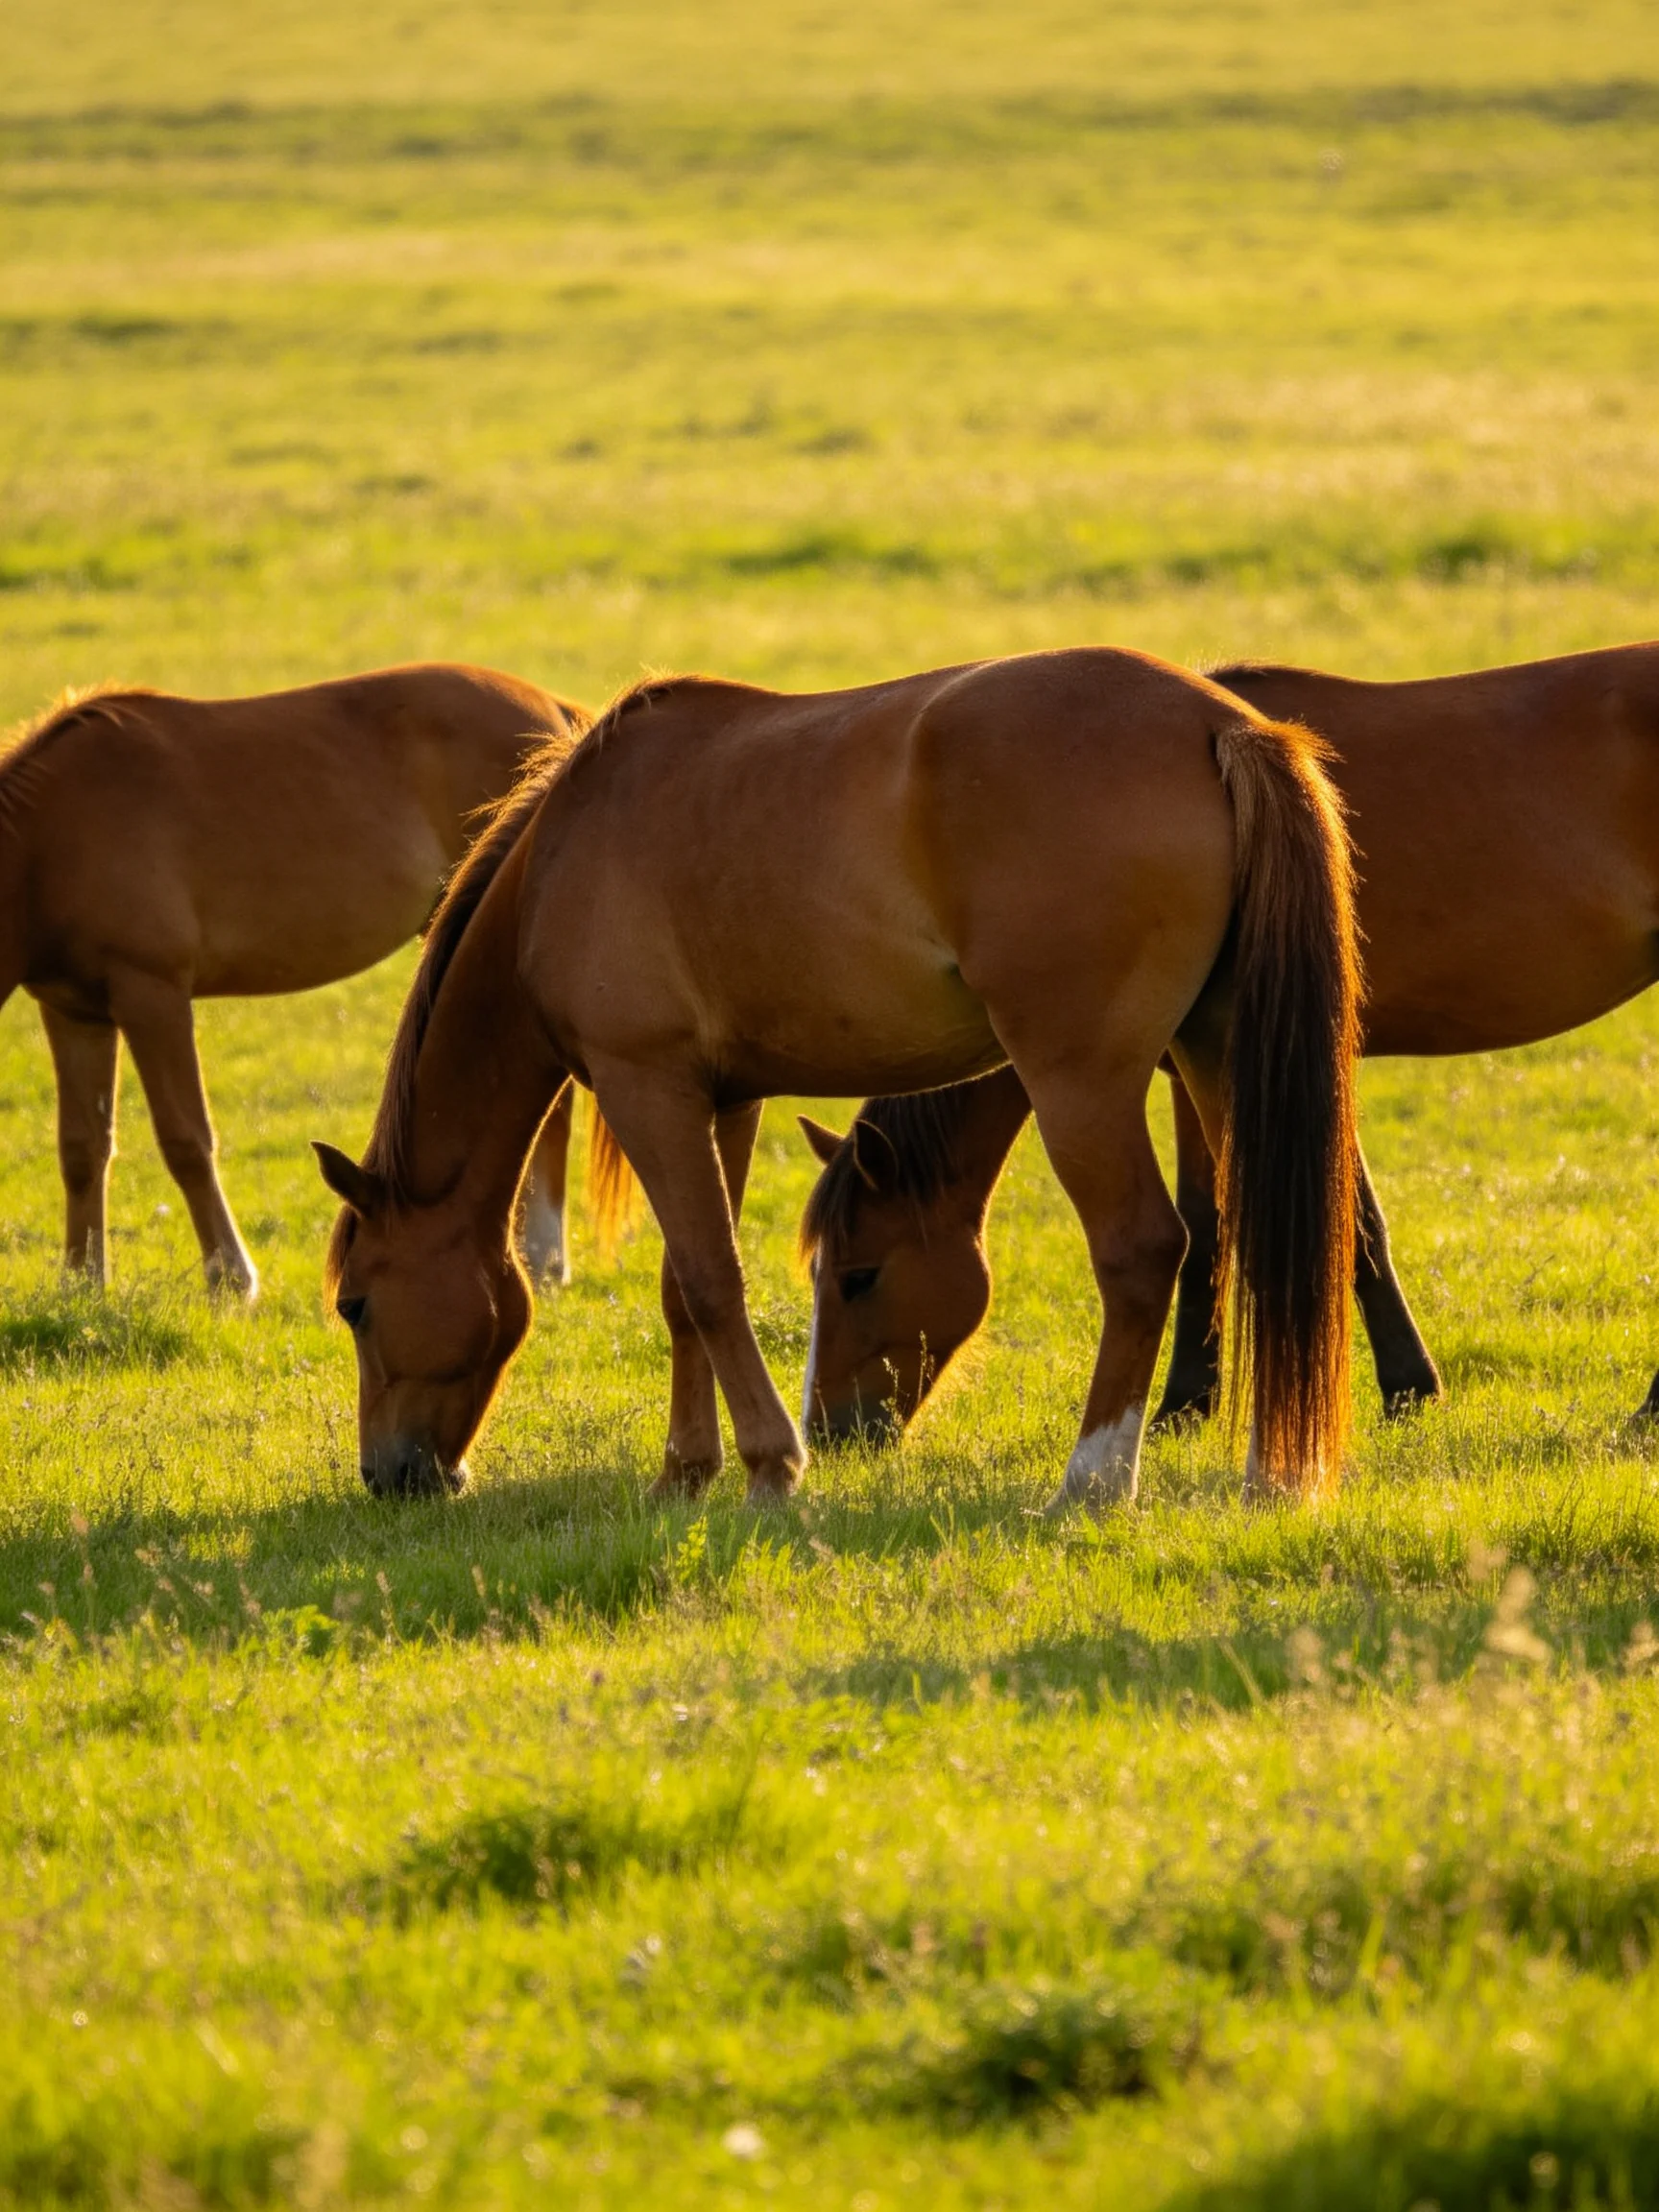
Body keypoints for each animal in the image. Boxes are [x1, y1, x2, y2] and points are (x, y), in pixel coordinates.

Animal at [0, 664, 585, 1300]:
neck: (52, 841)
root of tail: (551, 709)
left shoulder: (152, 996)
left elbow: (186, 1140)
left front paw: (231, 1277)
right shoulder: (74, 1013)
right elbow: (82, 1146)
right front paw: (82, 1283)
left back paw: (542, 1257)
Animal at [315, 646, 1360, 1512]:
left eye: (354, 1304)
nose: (391, 1476)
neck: (560, 863)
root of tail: (1216, 726)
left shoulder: (645, 1085)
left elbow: (710, 1279)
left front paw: (771, 1467)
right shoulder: (721, 1099)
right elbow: (682, 1285)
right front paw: (683, 1473)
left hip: (1082, 1085)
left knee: (1142, 1251)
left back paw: (1093, 1481)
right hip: (1217, 1057)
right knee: (1270, 1238)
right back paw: (1275, 1475)